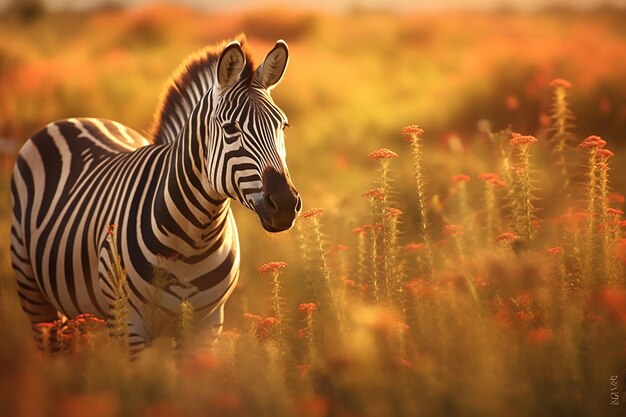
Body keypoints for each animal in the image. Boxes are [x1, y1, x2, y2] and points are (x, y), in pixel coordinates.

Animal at [9, 37, 302, 352]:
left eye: (283, 125)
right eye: (230, 129)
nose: (285, 203)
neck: (194, 241)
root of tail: (74, 119)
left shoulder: (207, 325)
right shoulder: (129, 327)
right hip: (35, 296)